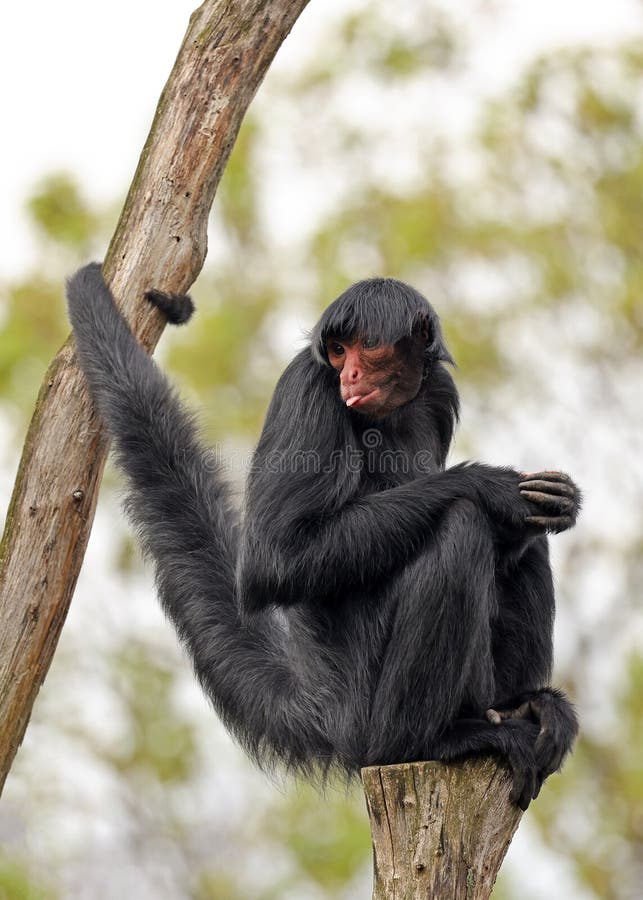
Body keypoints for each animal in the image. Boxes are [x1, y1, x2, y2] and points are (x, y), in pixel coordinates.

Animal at [68, 264, 580, 812]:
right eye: (337, 352)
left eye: (365, 347)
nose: (349, 375)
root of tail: (326, 705)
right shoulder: (310, 386)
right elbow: (273, 563)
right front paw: (491, 485)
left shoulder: (438, 390)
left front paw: (554, 503)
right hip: (366, 698)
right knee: (462, 526)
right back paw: (425, 741)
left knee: (524, 544)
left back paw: (524, 707)